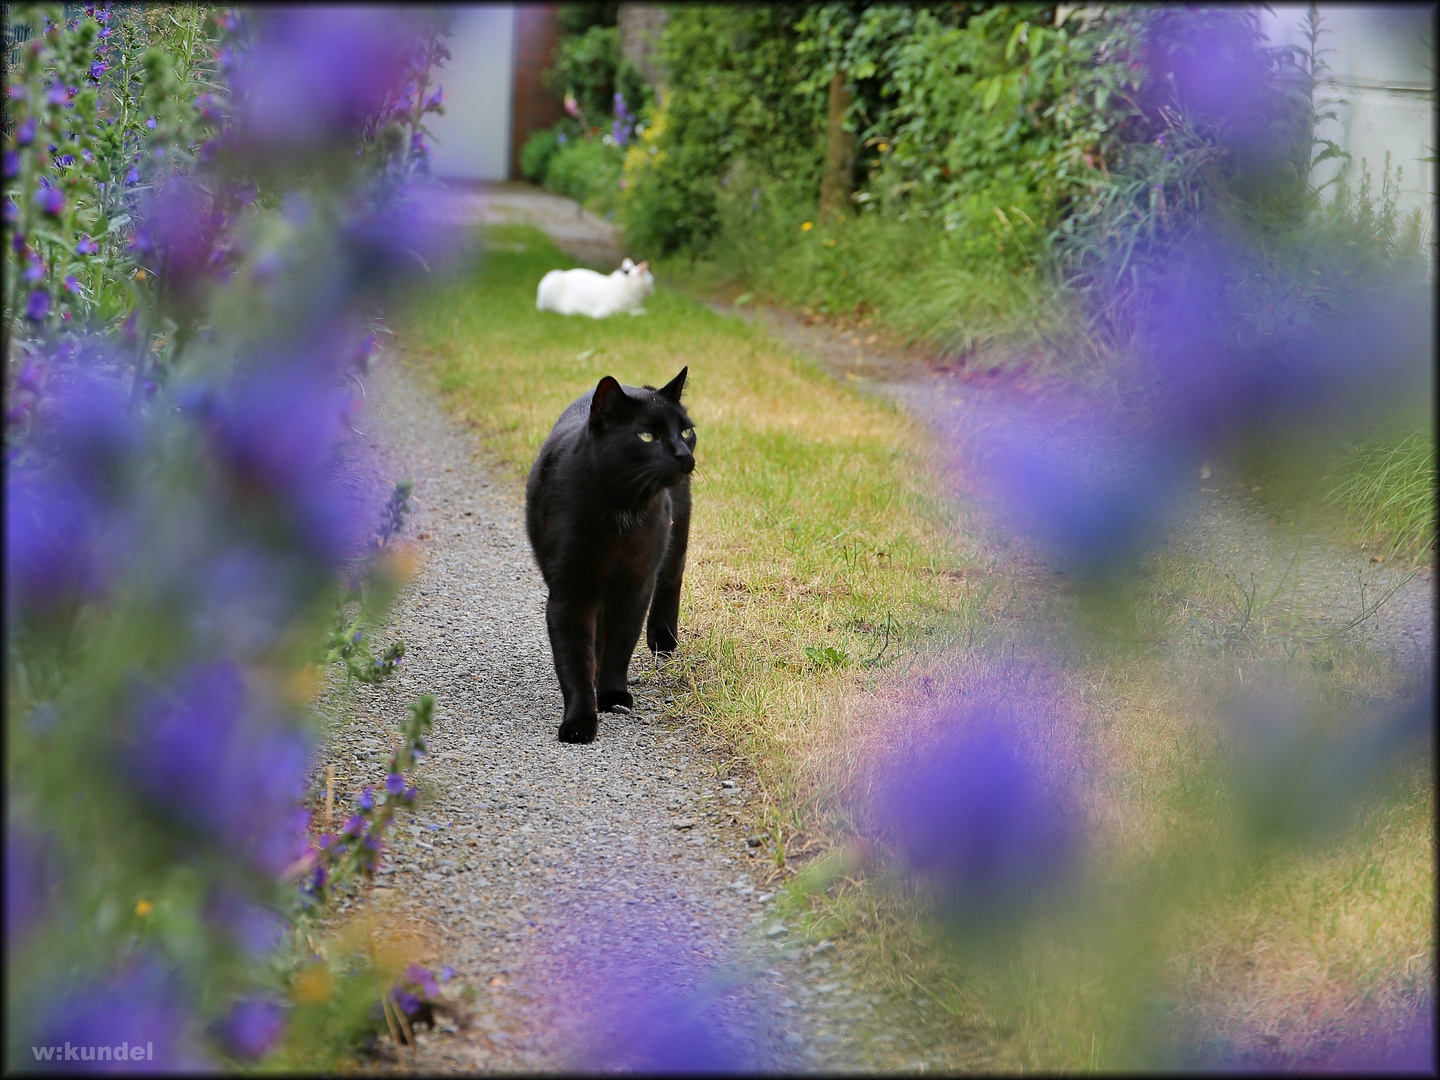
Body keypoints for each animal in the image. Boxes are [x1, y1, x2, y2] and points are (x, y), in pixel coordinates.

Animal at [527, 371, 694, 743]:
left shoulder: (636, 584)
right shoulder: (570, 590)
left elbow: (620, 646)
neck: (622, 508)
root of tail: (639, 385)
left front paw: (613, 696)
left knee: (672, 576)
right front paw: (579, 722)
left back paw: (664, 640)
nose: (683, 453)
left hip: (676, 531)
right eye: (647, 436)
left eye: (686, 432)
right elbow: (574, 658)